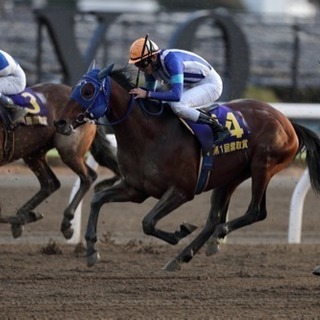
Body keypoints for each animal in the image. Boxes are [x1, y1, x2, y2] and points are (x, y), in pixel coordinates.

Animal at [0, 82, 120, 240]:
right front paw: (25, 218)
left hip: (68, 150)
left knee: (88, 176)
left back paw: (65, 223)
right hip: (33, 153)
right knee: (50, 183)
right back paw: (23, 216)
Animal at [55, 65, 320, 272]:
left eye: (87, 91)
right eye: (76, 88)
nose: (60, 122)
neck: (149, 135)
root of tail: (287, 122)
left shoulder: (182, 191)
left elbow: (148, 222)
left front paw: (179, 232)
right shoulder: (135, 189)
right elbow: (98, 199)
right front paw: (91, 250)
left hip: (262, 166)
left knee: (255, 212)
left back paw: (214, 238)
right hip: (230, 177)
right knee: (214, 219)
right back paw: (184, 256)